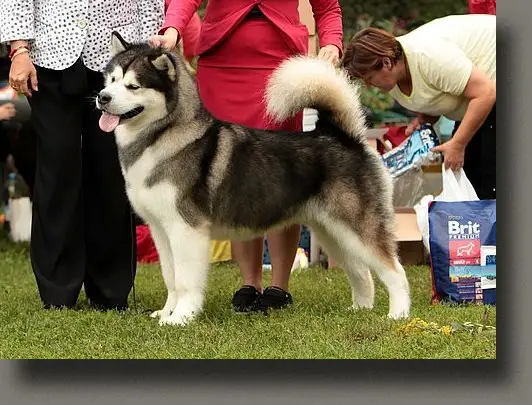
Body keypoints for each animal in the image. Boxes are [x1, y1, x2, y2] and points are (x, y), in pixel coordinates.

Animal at [96, 33, 412, 326]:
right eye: (110, 80)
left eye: (133, 86)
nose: (102, 97)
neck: (162, 136)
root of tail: (344, 138)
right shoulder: (161, 230)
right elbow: (170, 278)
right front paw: (166, 312)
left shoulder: (186, 229)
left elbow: (185, 280)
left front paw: (181, 317)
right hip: (332, 231)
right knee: (361, 271)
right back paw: (360, 309)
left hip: (358, 227)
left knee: (395, 270)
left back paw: (398, 314)